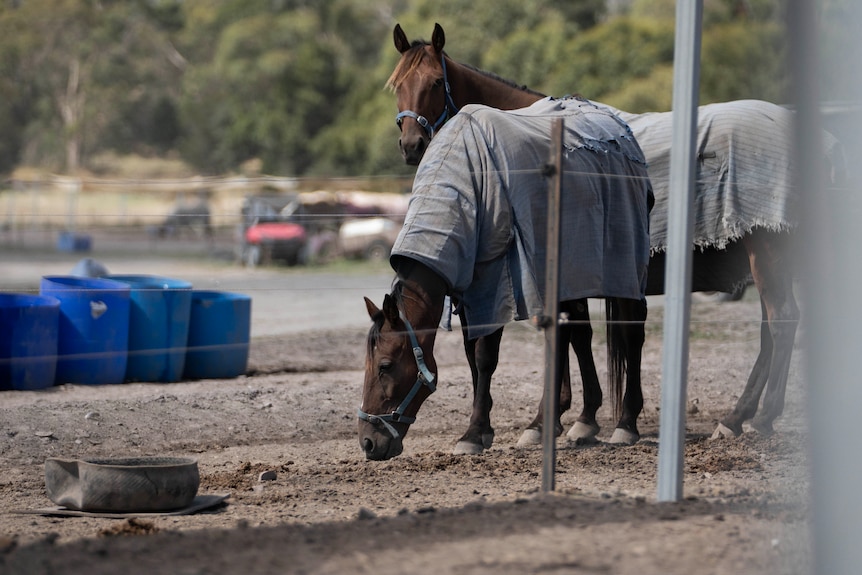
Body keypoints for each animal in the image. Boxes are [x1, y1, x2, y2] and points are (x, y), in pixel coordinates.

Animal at [388, 22, 848, 448]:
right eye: (397, 86)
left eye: (435, 82)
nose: (411, 144)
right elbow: (577, 336)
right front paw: (576, 417)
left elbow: (570, 337)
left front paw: (553, 420)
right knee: (772, 328)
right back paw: (743, 415)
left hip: (767, 254)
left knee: (783, 320)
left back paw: (755, 417)